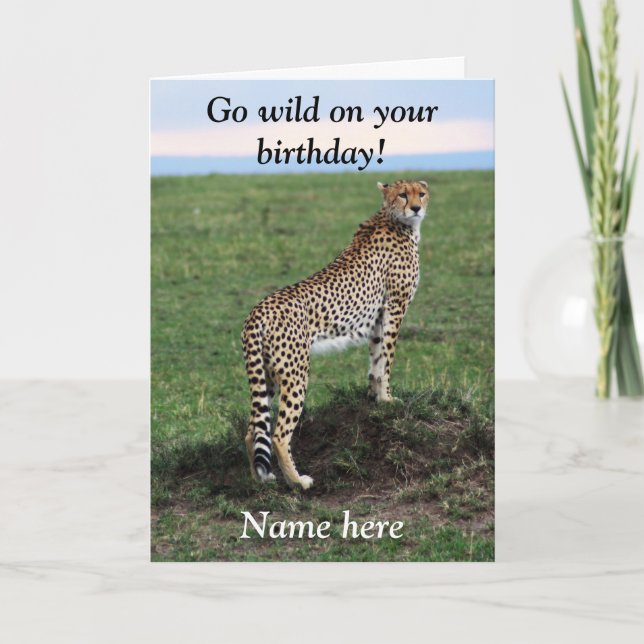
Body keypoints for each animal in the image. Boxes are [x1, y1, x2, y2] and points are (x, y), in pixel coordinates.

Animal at [241, 179, 430, 490]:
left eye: (421, 193)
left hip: (265, 374)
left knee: (253, 430)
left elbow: (375, 361)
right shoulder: (395, 308)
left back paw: (262, 479)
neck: (395, 220)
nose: (416, 208)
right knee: (279, 434)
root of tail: (259, 309)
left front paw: (373, 399)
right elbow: (387, 360)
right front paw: (388, 400)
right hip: (295, 373)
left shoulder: (377, 319)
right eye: (403, 194)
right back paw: (298, 482)